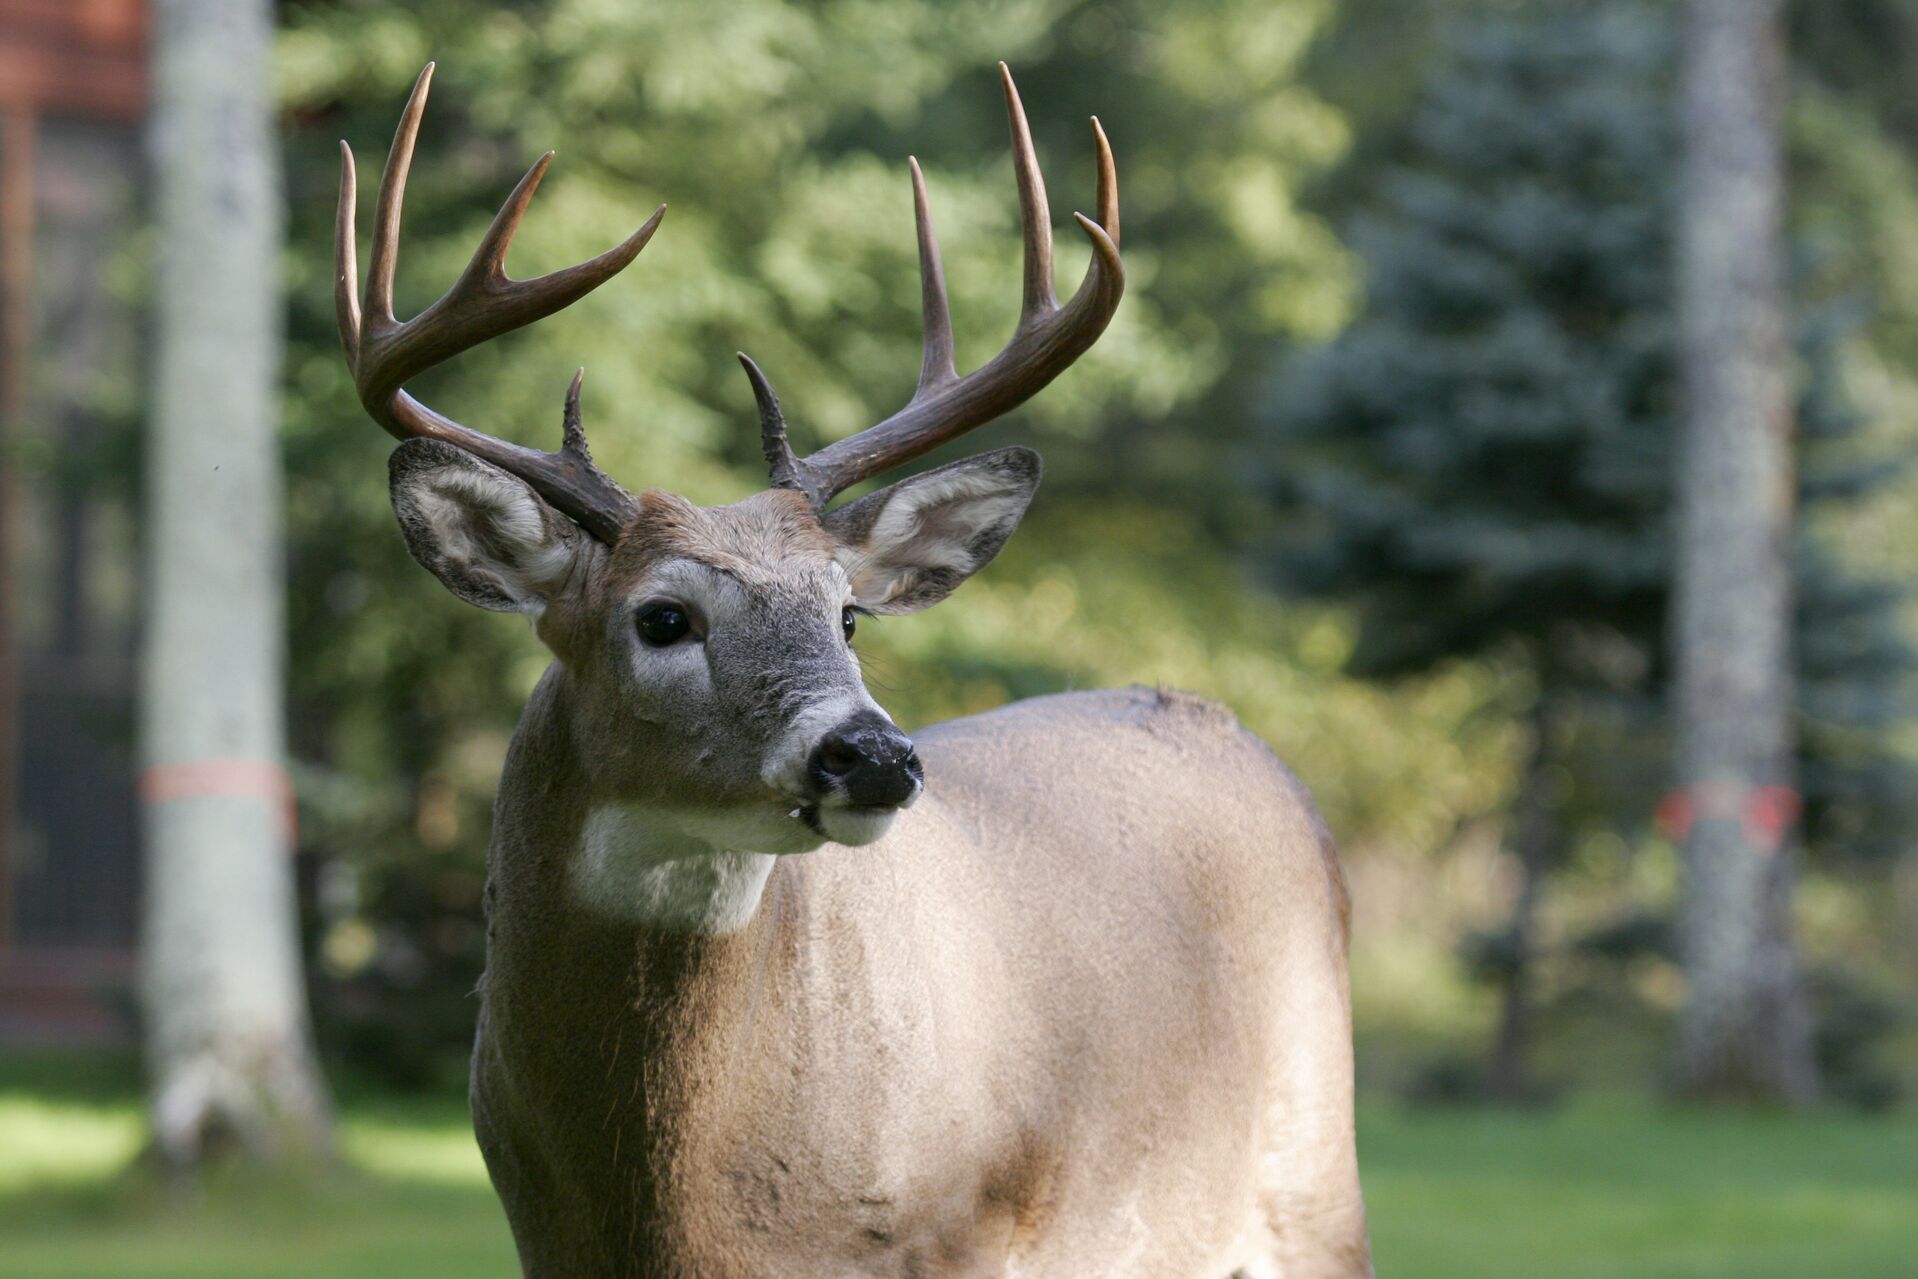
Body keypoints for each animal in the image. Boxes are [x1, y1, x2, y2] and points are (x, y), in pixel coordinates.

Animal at [334, 62, 1371, 1279]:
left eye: (851, 614)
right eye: (664, 616)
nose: (871, 754)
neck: (671, 1214)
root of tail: (1240, 737)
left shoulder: (966, 1236)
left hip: (1314, 1182)